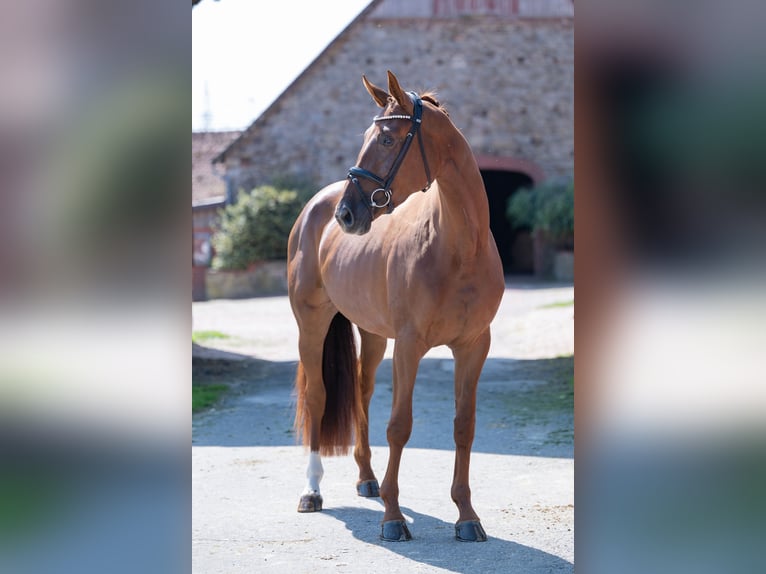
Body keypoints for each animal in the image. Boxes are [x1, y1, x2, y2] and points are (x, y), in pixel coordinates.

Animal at [287, 71, 504, 542]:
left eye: (387, 139)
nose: (347, 215)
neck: (459, 249)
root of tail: (315, 206)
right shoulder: (409, 345)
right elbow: (400, 426)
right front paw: (393, 517)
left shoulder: (474, 346)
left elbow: (464, 425)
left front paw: (466, 516)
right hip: (311, 324)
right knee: (318, 397)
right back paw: (312, 491)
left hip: (371, 334)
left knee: (361, 392)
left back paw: (367, 479)